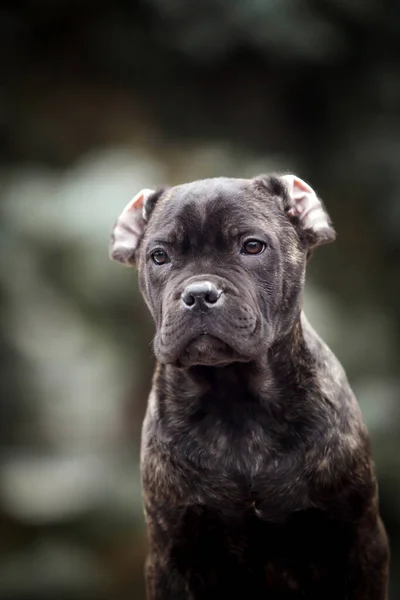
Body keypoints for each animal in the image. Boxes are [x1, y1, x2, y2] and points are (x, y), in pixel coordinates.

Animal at [110, 171, 390, 596]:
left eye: (252, 246)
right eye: (159, 256)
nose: (199, 294)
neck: (236, 400)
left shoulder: (358, 544)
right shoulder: (173, 555)